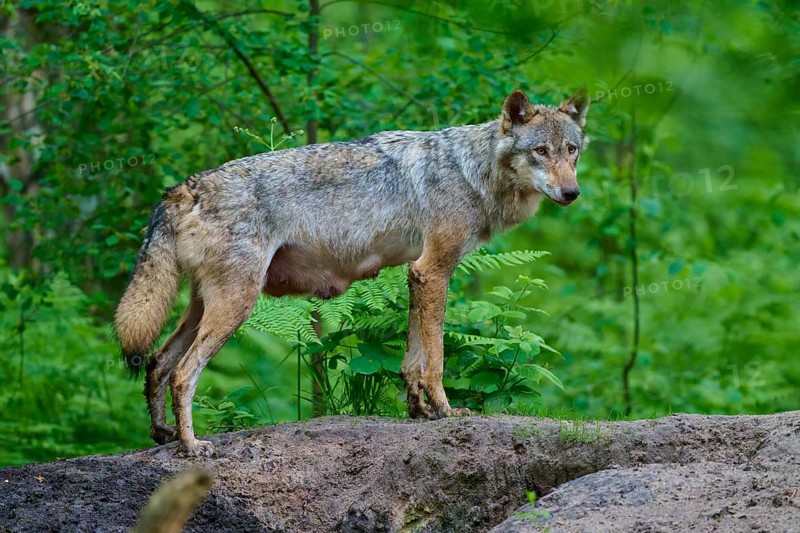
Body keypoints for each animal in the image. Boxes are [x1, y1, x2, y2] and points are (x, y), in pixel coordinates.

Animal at [114, 88, 590, 456]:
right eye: (540, 151)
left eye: (571, 151)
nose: (572, 193)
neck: (471, 170)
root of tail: (185, 188)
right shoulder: (434, 270)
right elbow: (434, 360)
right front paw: (446, 411)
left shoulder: (416, 275)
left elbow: (412, 359)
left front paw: (419, 412)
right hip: (236, 306)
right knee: (182, 373)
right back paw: (192, 446)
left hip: (204, 306)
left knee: (157, 362)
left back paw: (163, 435)